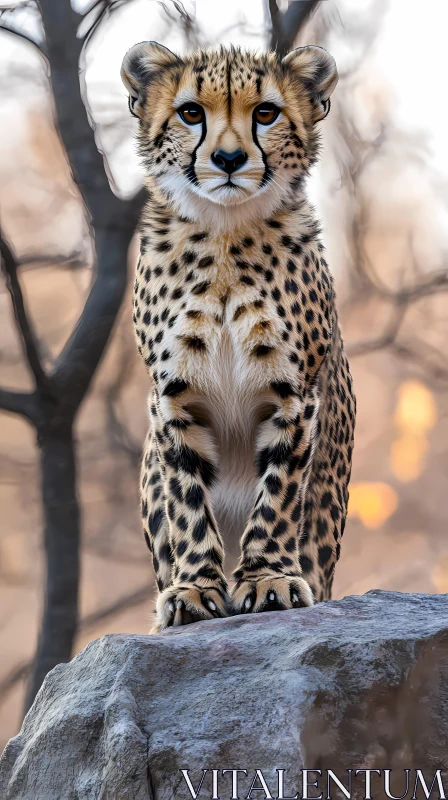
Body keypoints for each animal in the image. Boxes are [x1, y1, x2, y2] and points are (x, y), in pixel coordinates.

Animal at [121, 42, 356, 632]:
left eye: (266, 113)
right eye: (190, 113)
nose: (228, 159)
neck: (225, 236)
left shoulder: (294, 395)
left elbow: (278, 495)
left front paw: (268, 579)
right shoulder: (173, 399)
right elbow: (186, 498)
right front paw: (195, 590)